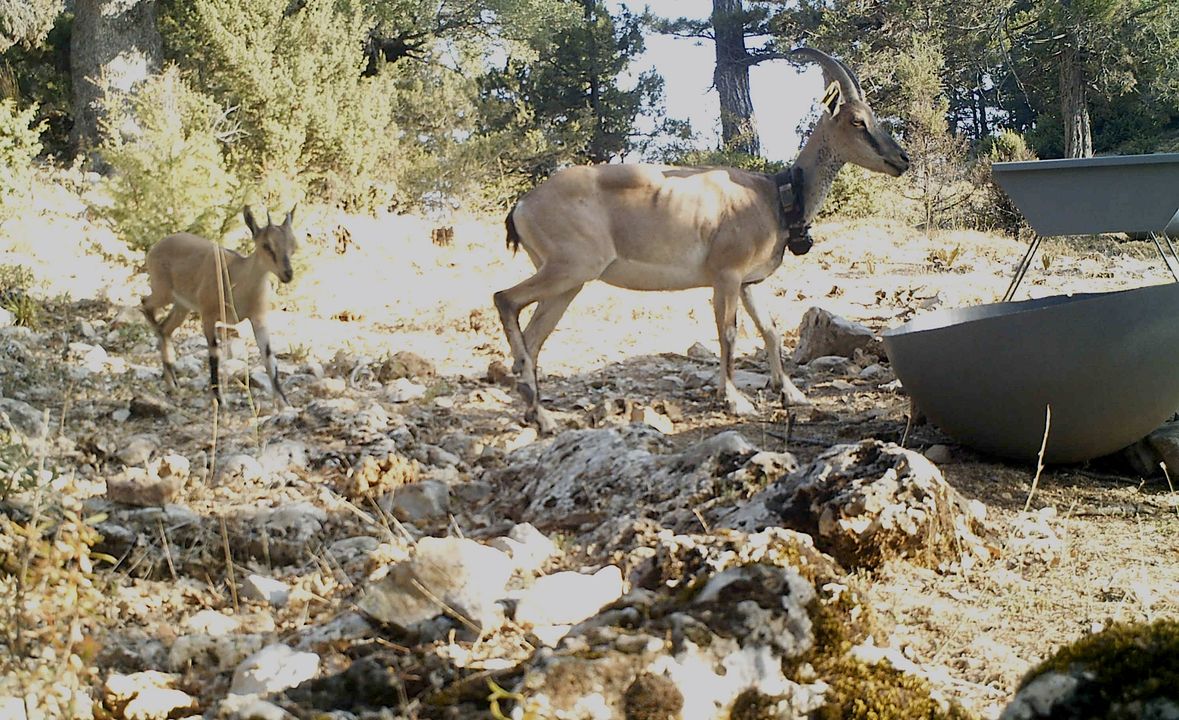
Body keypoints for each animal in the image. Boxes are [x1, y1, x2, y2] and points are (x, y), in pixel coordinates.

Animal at [492, 52, 905, 433]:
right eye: (857, 120)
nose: (901, 159)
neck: (775, 196)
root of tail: (522, 206)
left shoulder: (749, 282)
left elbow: (770, 330)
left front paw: (790, 392)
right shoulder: (726, 275)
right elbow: (729, 333)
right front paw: (736, 401)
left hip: (568, 283)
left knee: (533, 337)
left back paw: (539, 414)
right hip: (570, 267)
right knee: (504, 299)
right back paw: (535, 406)